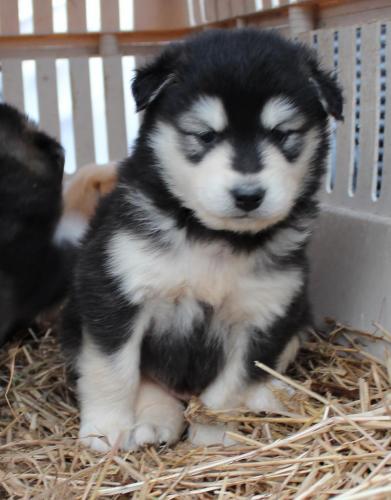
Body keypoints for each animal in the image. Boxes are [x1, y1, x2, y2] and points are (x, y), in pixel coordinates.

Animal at [60, 29, 344, 452]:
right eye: (205, 136)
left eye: (282, 134)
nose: (248, 195)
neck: (214, 238)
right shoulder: (115, 291)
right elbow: (114, 369)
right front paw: (106, 427)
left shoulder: (264, 315)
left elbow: (229, 388)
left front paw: (213, 437)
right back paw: (154, 420)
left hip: (299, 319)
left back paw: (273, 396)